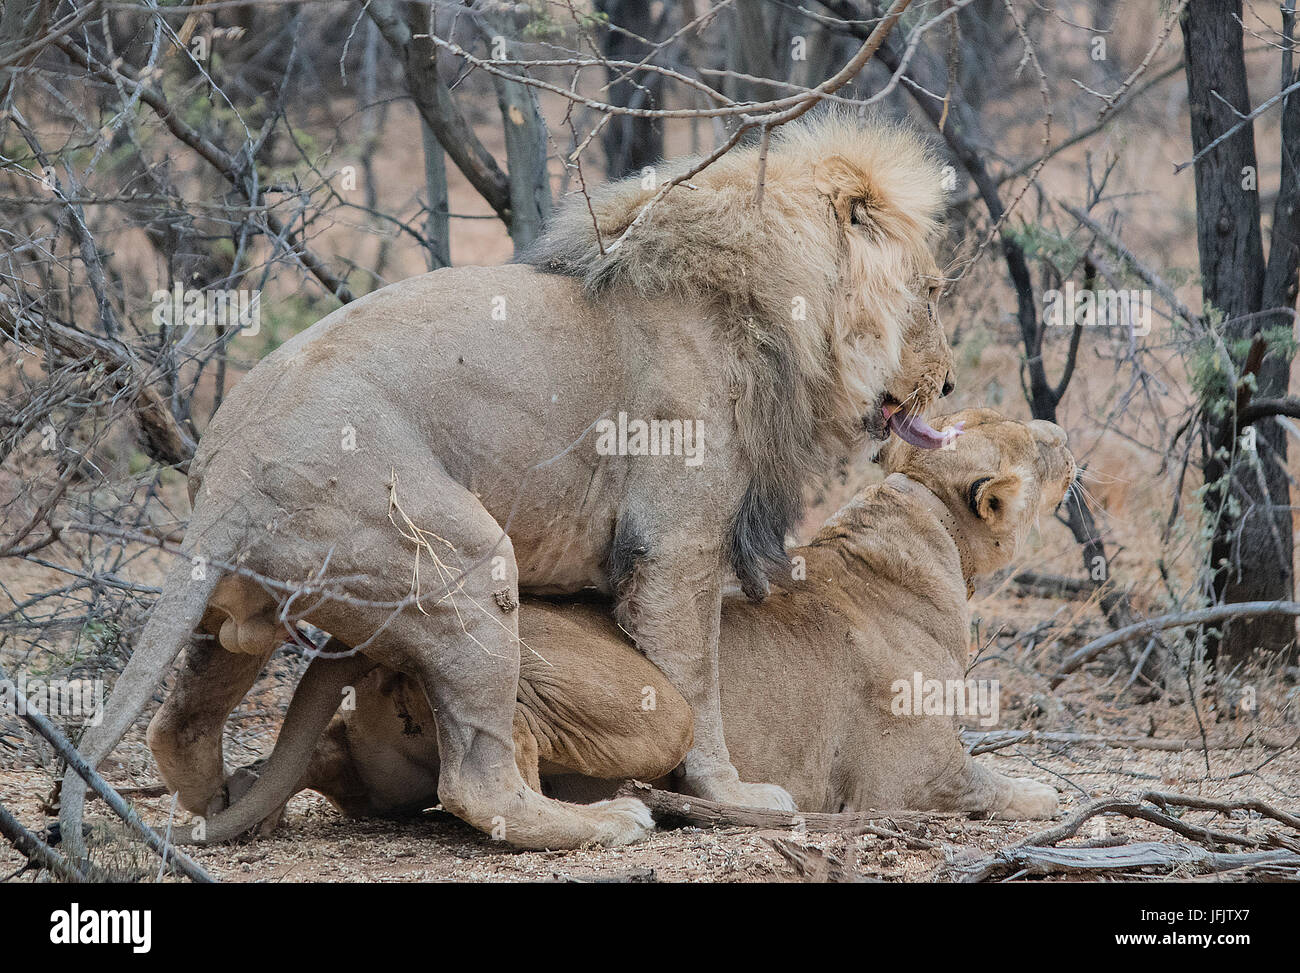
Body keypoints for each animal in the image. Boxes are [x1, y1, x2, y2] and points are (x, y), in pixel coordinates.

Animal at [61, 109, 956, 848]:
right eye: (933, 293)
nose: (946, 385)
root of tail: (230, 478)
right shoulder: (676, 545)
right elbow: (695, 688)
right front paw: (729, 792)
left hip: (238, 608)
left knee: (177, 721)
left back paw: (231, 803)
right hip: (462, 559)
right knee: (477, 785)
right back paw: (604, 821)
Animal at [188, 405, 1071, 837]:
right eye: (1037, 446)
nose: (1063, 431)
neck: (917, 516)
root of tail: (383, 645)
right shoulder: (905, 776)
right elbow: (999, 785)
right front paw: (1043, 792)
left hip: (384, 769)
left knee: (339, 757)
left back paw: (248, 791)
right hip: (648, 708)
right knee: (498, 757)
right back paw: (605, 815)